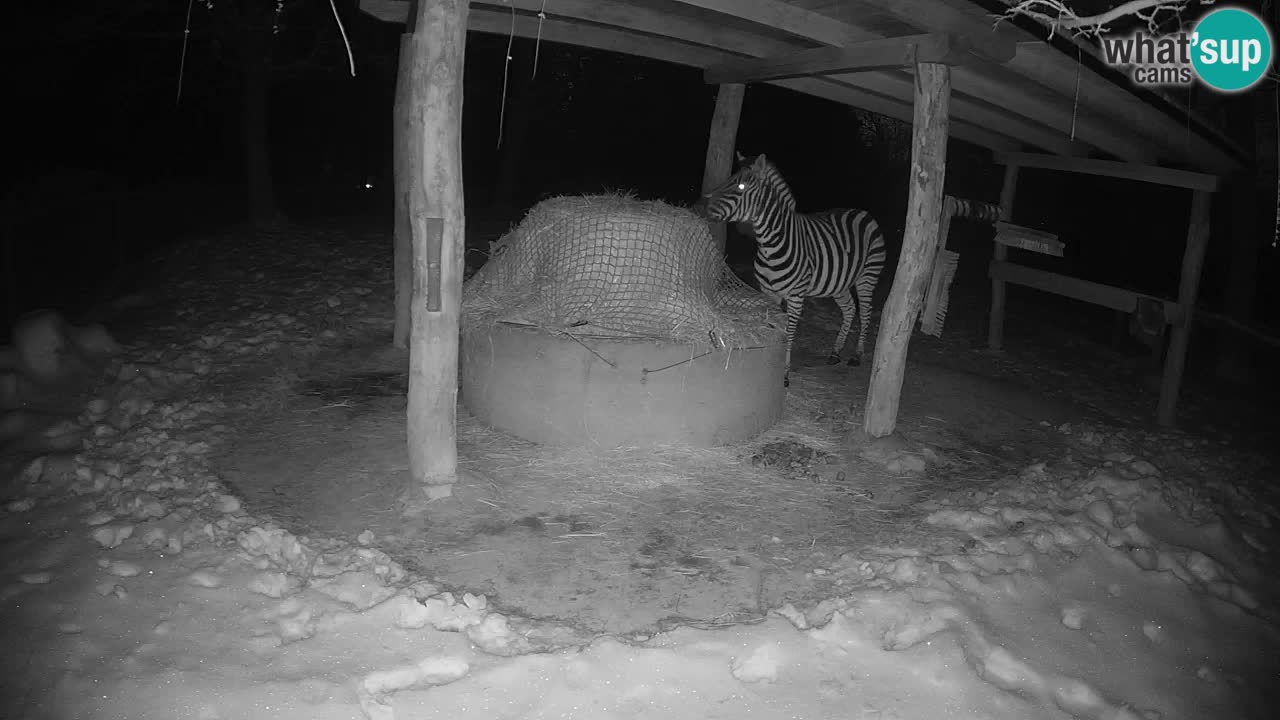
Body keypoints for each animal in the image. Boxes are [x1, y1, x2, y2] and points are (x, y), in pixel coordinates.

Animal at [695, 153, 887, 387]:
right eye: (729, 180)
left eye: (740, 186)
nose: (699, 206)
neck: (770, 245)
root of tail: (862, 211)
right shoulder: (769, 293)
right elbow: (772, 326)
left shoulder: (796, 296)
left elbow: (789, 332)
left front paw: (784, 374)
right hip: (838, 283)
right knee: (850, 309)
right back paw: (835, 352)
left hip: (868, 276)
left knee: (865, 312)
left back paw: (857, 355)